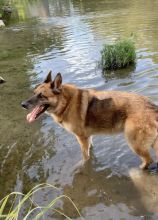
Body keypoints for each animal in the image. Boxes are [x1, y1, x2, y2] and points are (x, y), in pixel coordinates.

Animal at [21, 71, 158, 169]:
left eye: (41, 96)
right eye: (34, 93)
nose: (22, 104)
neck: (66, 103)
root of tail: (153, 106)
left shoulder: (81, 138)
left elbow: (85, 156)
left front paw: (83, 165)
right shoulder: (88, 137)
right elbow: (90, 149)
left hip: (134, 143)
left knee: (148, 160)